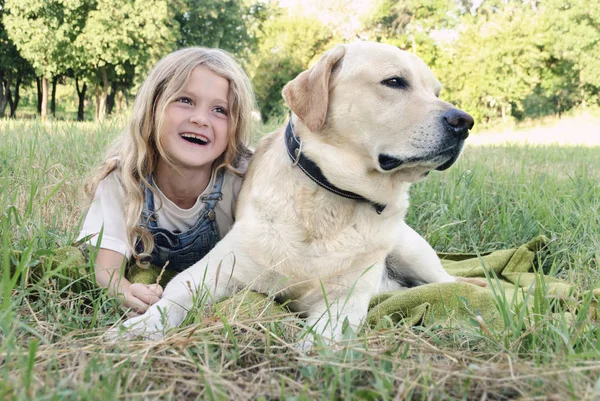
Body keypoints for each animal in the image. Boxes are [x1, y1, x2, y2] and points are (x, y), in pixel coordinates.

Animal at [111, 42, 478, 346]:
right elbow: (172, 298)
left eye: (436, 91)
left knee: (449, 282)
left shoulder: (345, 299)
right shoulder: (216, 268)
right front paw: (140, 327)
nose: (464, 122)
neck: (332, 200)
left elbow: (321, 338)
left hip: (410, 251)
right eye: (394, 82)